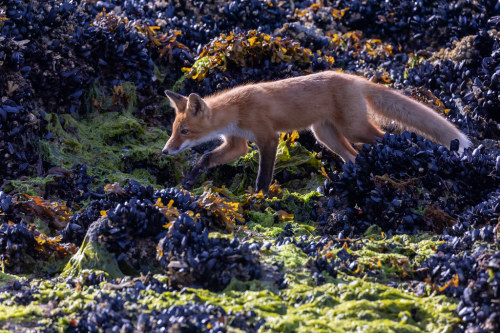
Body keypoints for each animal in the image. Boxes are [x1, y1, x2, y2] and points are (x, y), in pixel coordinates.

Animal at [162, 70, 470, 192]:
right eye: (175, 130)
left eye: (185, 131)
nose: (166, 150)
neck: (236, 110)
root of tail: (354, 78)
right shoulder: (238, 144)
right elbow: (205, 159)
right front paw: (188, 181)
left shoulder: (268, 137)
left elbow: (264, 175)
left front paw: (259, 196)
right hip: (326, 135)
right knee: (354, 157)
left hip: (354, 128)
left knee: (387, 138)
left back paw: (410, 160)